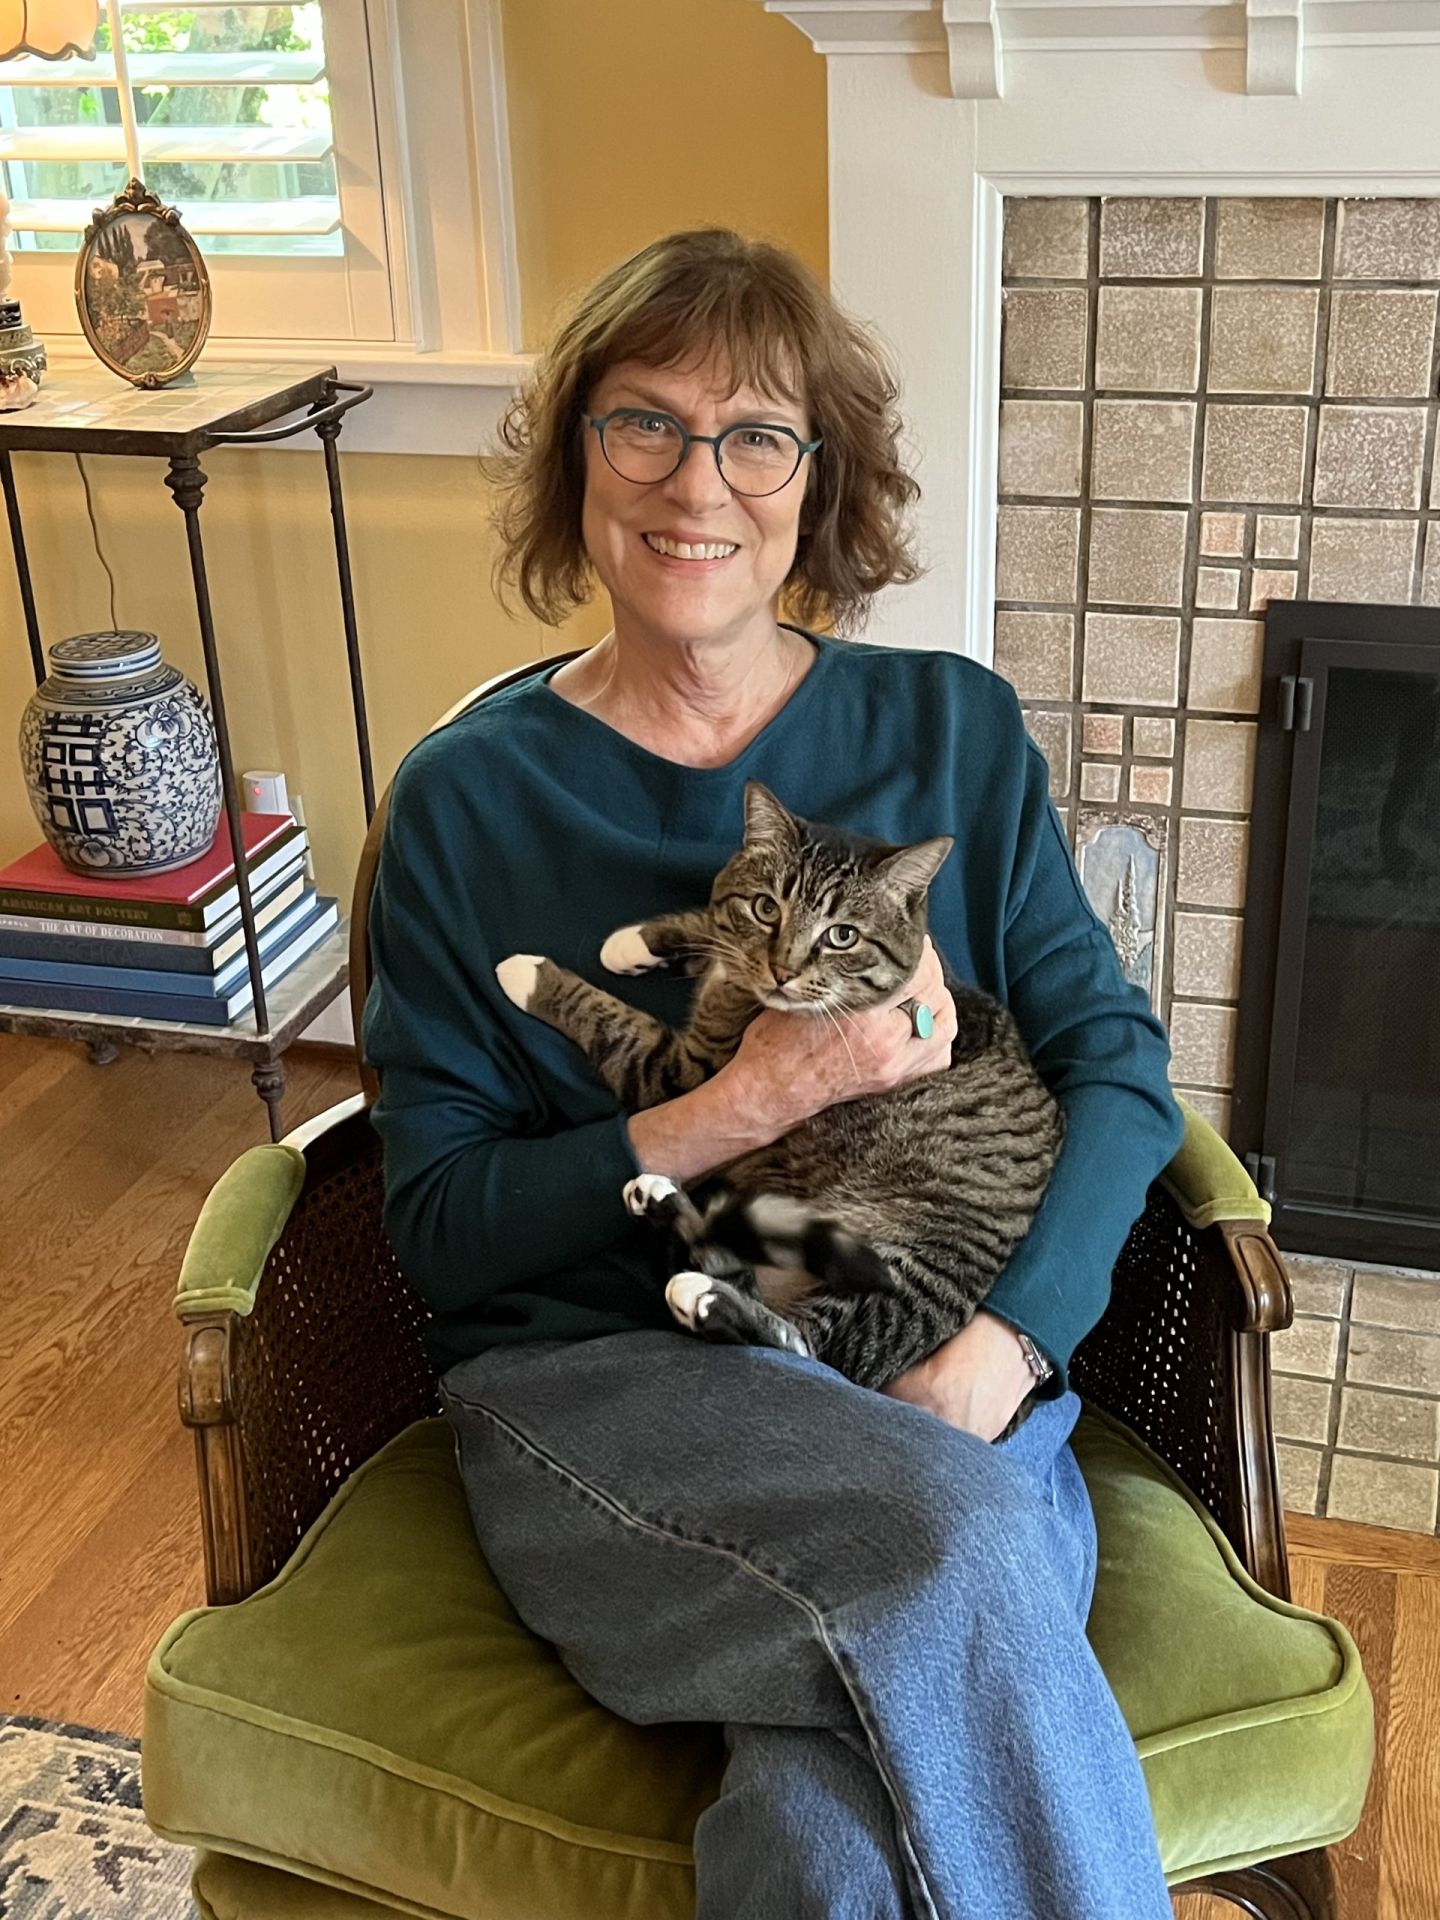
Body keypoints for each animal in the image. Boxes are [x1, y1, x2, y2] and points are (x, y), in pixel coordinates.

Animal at [499, 779, 1075, 1397]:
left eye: (842, 935)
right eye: (766, 908)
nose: (782, 971)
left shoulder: (685, 1070)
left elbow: (614, 1024)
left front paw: (533, 977)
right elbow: (709, 923)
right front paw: (638, 941)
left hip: (902, 1265)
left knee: (817, 1349)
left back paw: (707, 1298)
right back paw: (663, 1204)